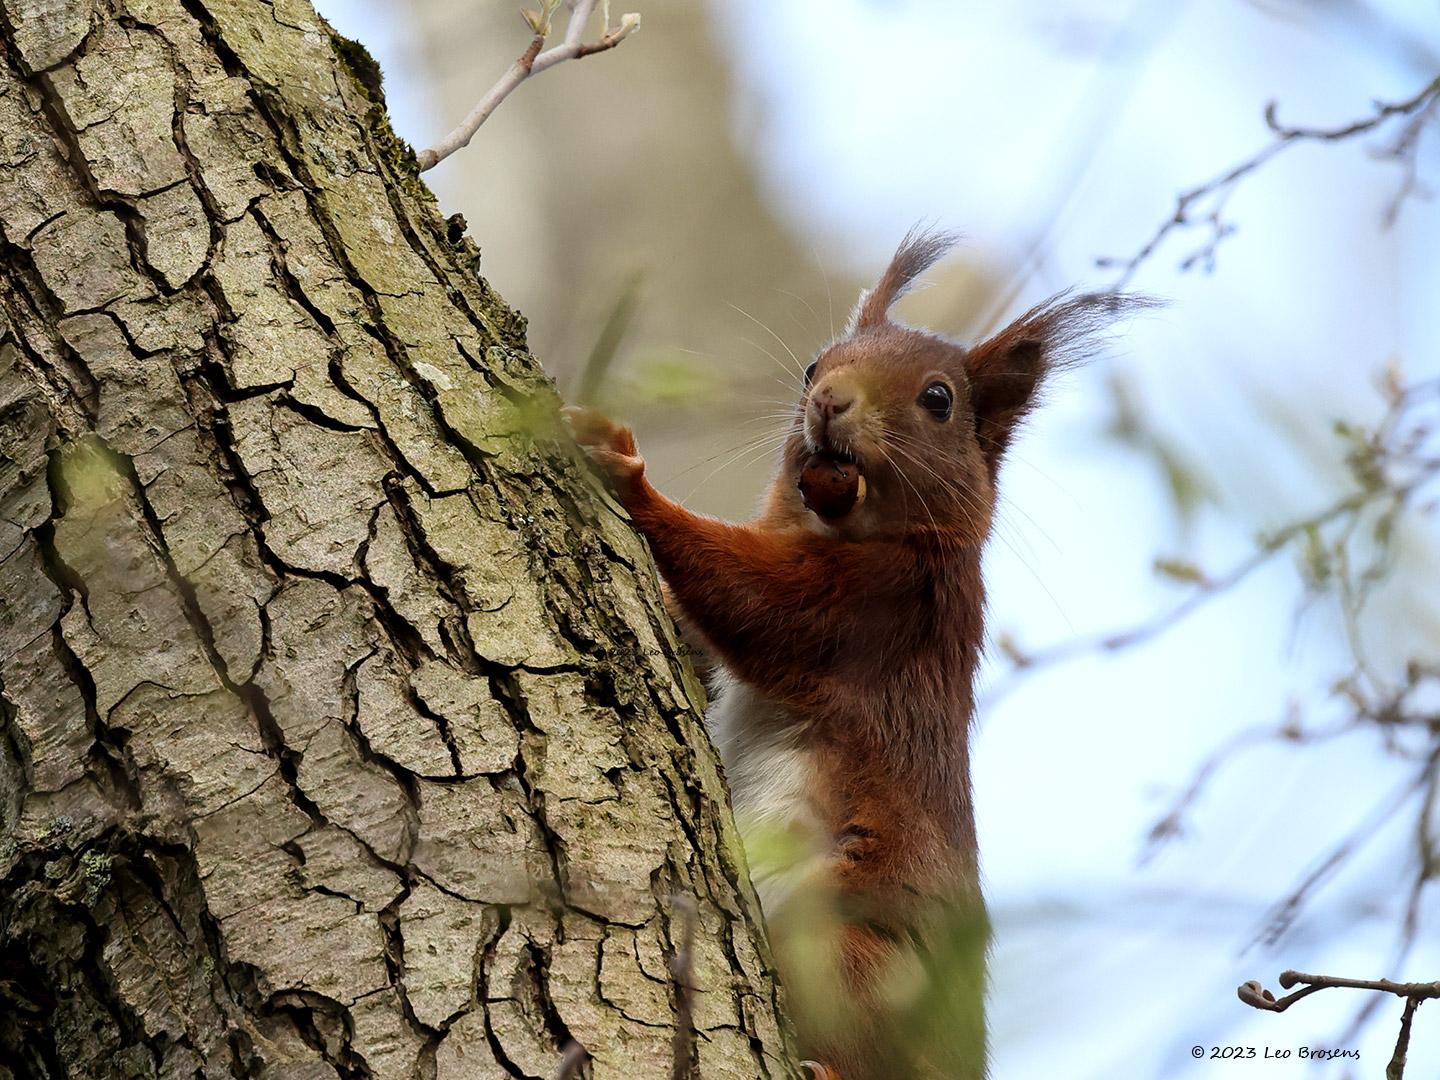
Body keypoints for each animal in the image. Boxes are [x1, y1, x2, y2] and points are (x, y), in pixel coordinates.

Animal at [567, 233, 1140, 1077]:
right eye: (814, 366)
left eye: (938, 399)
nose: (829, 400)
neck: (841, 525)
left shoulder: (886, 610)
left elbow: (758, 602)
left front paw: (630, 476)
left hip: (843, 949)